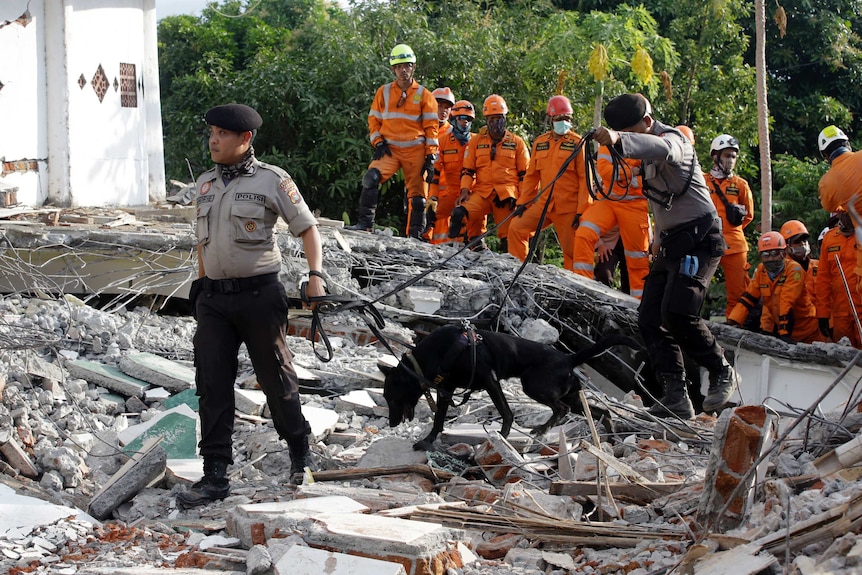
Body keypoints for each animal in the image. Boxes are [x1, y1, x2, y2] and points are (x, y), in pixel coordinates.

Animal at [384, 324, 640, 450]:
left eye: (392, 399)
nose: (392, 424)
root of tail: (568, 358)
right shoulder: (446, 391)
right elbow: (438, 420)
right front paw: (428, 440)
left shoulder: (490, 380)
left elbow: (506, 412)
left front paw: (503, 436)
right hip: (573, 398)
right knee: (602, 412)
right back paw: (610, 439)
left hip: (534, 386)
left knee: (561, 409)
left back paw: (542, 429)